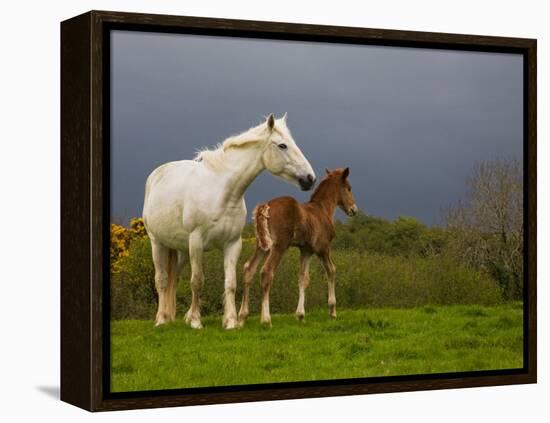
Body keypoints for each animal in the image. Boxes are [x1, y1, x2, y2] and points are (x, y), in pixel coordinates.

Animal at [143, 114, 314, 330]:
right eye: (282, 145)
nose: (310, 178)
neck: (221, 192)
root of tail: (156, 175)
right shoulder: (196, 242)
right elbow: (197, 281)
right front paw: (197, 321)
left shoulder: (233, 243)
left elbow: (231, 283)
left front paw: (231, 321)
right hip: (157, 243)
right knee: (162, 280)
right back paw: (161, 319)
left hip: (181, 249)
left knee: (174, 279)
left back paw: (172, 316)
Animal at [239, 167, 360, 326]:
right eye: (349, 188)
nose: (354, 209)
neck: (322, 209)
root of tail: (265, 207)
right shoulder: (323, 249)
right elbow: (331, 270)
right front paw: (332, 310)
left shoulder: (306, 251)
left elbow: (303, 278)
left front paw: (301, 315)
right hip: (279, 246)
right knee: (266, 272)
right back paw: (266, 319)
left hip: (262, 245)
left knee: (249, 269)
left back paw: (241, 317)